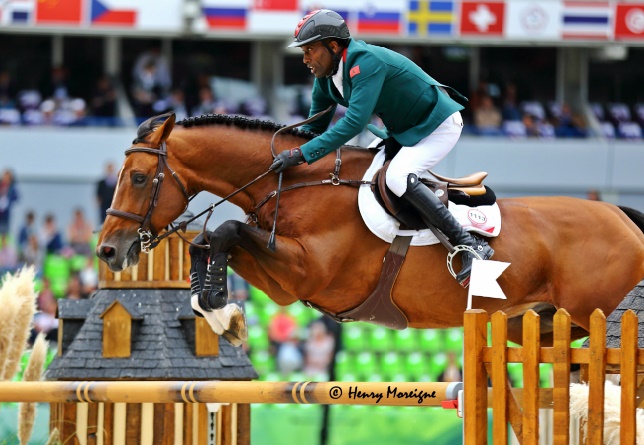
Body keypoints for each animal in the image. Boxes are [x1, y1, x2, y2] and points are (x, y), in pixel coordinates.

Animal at [95, 112, 644, 346]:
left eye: (139, 177)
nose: (107, 252)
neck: (296, 182)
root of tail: (623, 218)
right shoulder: (285, 282)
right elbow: (211, 239)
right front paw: (219, 312)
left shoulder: (307, 273)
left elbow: (226, 230)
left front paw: (220, 309)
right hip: (542, 323)